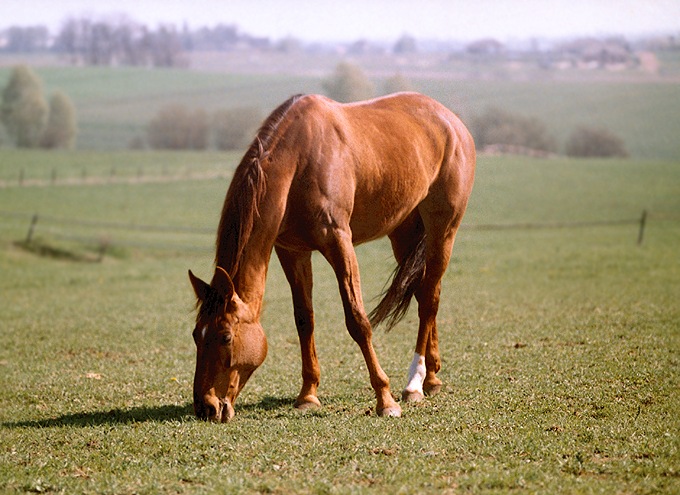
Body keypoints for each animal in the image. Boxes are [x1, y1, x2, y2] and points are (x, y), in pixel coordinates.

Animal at [189, 93, 476, 422]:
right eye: (196, 334)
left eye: (225, 336)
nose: (206, 407)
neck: (298, 162)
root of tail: (451, 121)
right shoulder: (292, 251)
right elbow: (304, 319)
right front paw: (308, 395)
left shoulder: (339, 242)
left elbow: (358, 321)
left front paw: (385, 400)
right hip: (403, 233)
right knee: (424, 294)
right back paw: (432, 377)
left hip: (443, 229)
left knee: (429, 299)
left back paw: (414, 383)